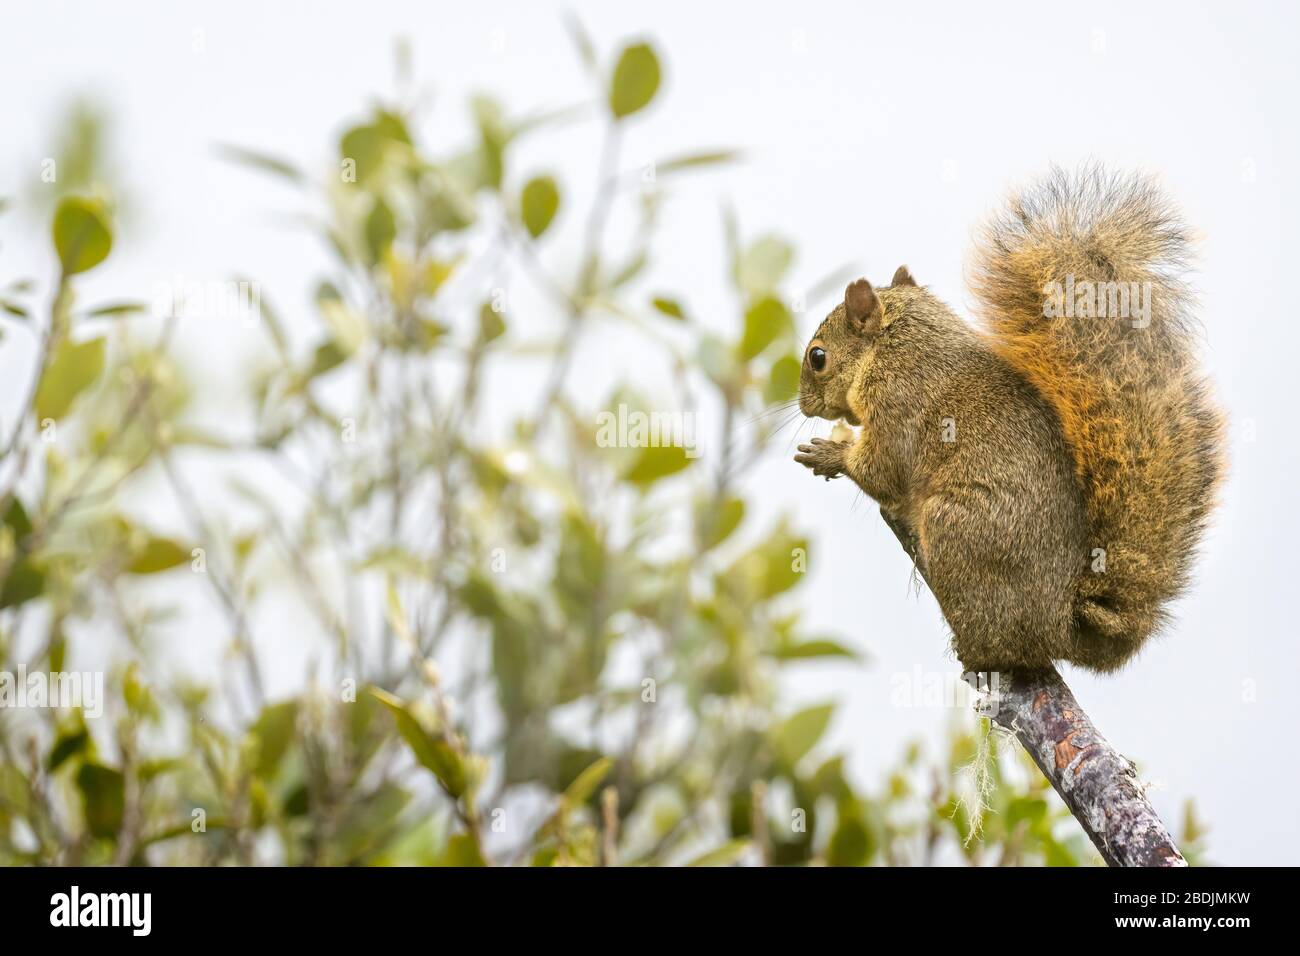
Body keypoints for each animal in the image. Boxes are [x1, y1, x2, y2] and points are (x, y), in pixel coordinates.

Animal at [790, 166, 1227, 671]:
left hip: (957, 529)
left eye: (817, 357)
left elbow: (883, 469)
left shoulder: (898, 402)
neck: (898, 343)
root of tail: (1058, 627)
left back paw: (973, 647)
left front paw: (830, 454)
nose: (803, 405)